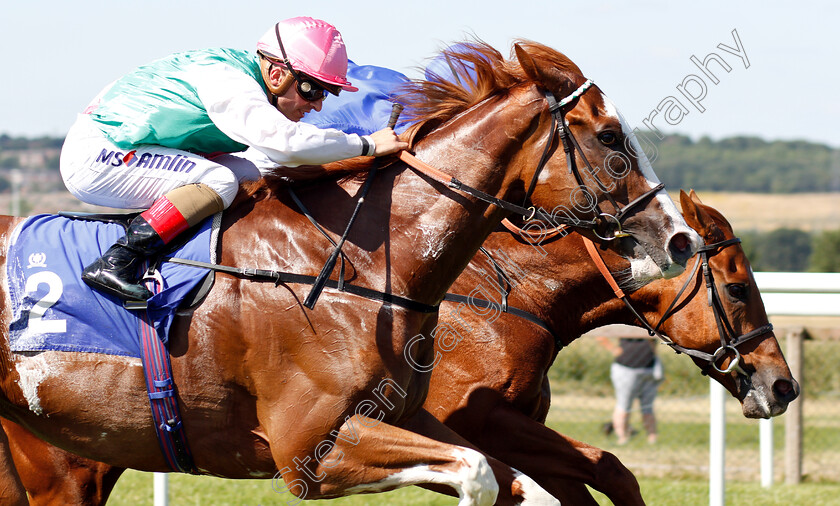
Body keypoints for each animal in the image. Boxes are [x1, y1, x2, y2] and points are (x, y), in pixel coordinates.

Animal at [0, 40, 700, 506]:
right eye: (609, 137)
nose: (681, 237)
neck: (354, 267)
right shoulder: (308, 449)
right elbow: (475, 472)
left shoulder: (408, 416)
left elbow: (518, 482)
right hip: (65, 465)